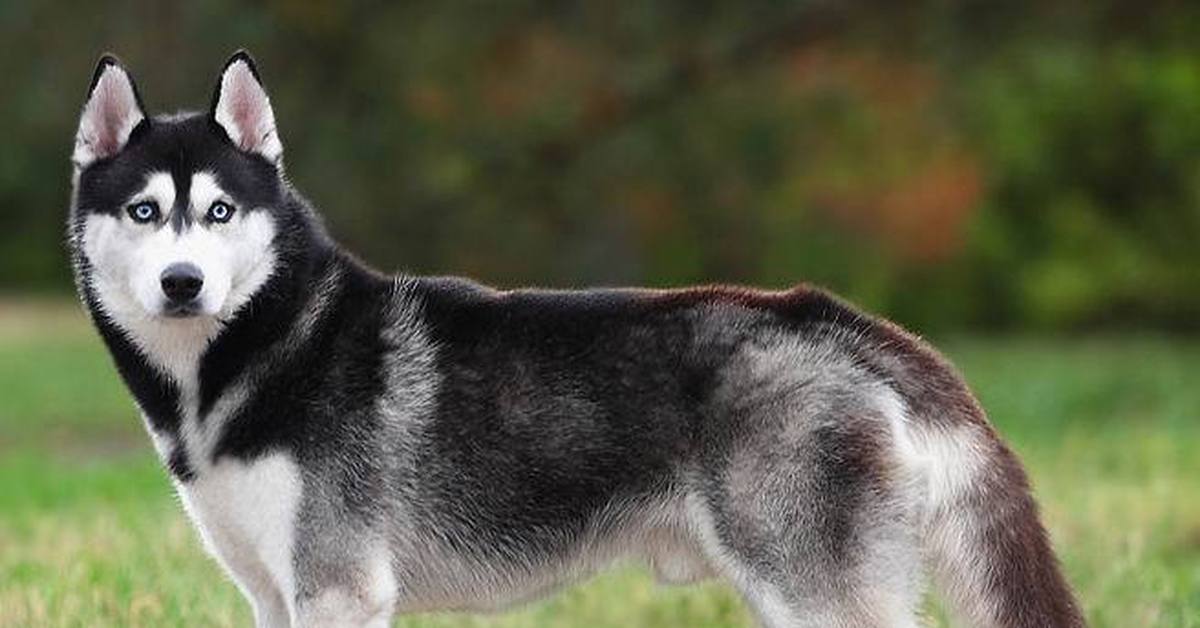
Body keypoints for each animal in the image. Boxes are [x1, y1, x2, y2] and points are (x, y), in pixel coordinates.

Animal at [68, 54, 1089, 628]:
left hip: (814, 587)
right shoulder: (274, 597)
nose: (184, 283)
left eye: (220, 211)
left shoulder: (339, 590)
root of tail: (840, 321)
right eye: (146, 211)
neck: (267, 344)